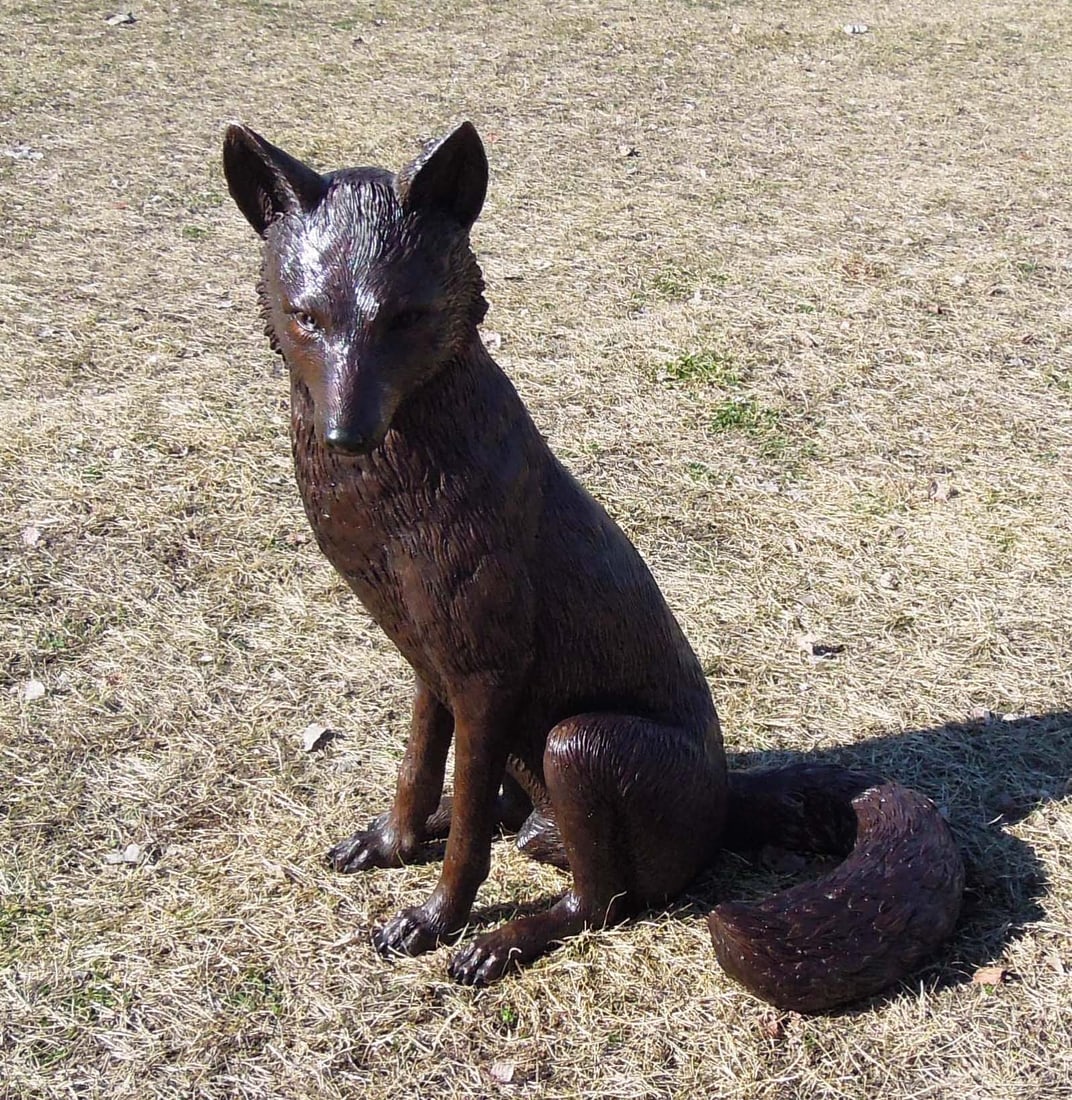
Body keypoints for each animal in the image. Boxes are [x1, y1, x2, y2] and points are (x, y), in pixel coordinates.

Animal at [222, 120, 964, 1012]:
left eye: (407, 317)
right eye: (308, 317)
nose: (348, 434)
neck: (394, 498)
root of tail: (723, 800)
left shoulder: (487, 674)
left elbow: (468, 837)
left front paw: (436, 921)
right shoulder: (430, 661)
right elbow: (419, 769)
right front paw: (396, 840)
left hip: (580, 744)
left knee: (601, 899)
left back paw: (505, 941)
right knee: (516, 820)